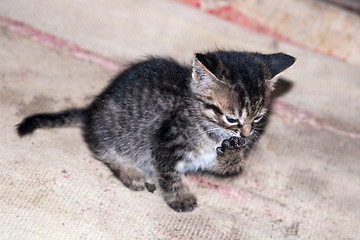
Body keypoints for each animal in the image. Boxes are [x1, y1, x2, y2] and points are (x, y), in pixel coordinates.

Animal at [16, 50, 296, 212]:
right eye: (231, 118)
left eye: (257, 117)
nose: (246, 134)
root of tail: (91, 112)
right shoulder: (166, 143)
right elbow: (169, 174)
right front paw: (180, 198)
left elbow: (225, 164)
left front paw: (232, 154)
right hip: (117, 132)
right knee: (101, 149)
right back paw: (130, 173)